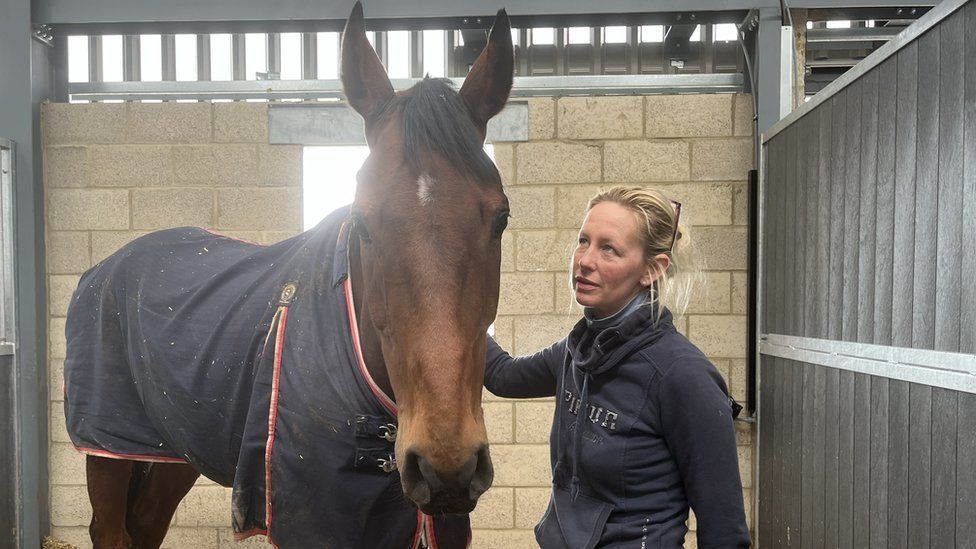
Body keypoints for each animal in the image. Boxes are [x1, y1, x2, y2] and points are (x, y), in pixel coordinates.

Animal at [62, 2, 516, 544]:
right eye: (361, 222)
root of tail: (103, 268)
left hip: (175, 449)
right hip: (107, 449)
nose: (445, 466)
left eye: (501, 217)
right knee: (112, 531)